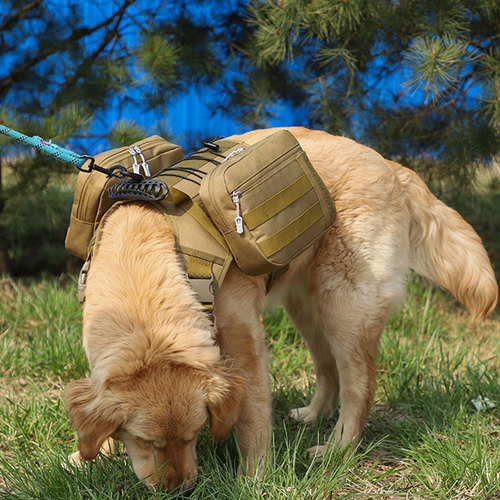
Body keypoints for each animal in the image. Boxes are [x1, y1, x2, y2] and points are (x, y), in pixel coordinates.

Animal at [64, 127, 498, 490]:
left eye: (194, 435)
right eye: (146, 441)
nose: (180, 490)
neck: (149, 257)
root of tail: (390, 165)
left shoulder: (244, 341)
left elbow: (252, 415)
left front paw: (253, 476)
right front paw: (90, 455)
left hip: (345, 306)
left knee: (359, 386)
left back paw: (337, 449)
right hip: (306, 308)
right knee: (327, 368)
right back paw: (313, 415)